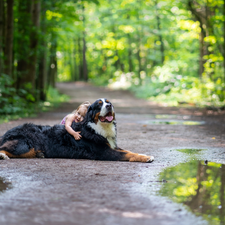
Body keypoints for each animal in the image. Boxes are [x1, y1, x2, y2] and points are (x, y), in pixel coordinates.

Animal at [0, 99, 154, 163]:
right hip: (24, 145)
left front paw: (145, 155)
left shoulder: (111, 146)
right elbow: (126, 154)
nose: (109, 106)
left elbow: (129, 151)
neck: (97, 127)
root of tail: (8, 131)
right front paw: (146, 158)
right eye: (99, 105)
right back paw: (2, 156)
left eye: (108, 102)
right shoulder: (105, 152)